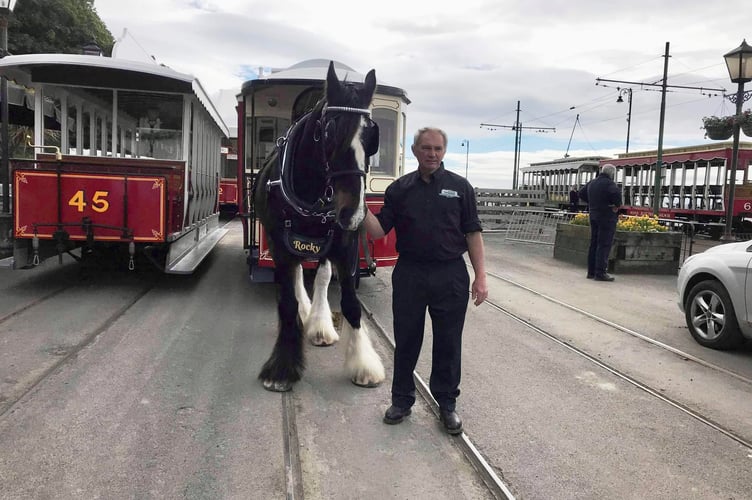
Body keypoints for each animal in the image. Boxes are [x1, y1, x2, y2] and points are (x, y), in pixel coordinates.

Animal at [254, 60, 384, 392]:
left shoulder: (345, 245)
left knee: (323, 276)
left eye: (372, 137)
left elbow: (351, 303)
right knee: (299, 274)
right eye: (329, 131)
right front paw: (282, 367)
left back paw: (320, 325)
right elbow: (287, 303)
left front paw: (363, 364)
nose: (353, 213)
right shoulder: (280, 243)